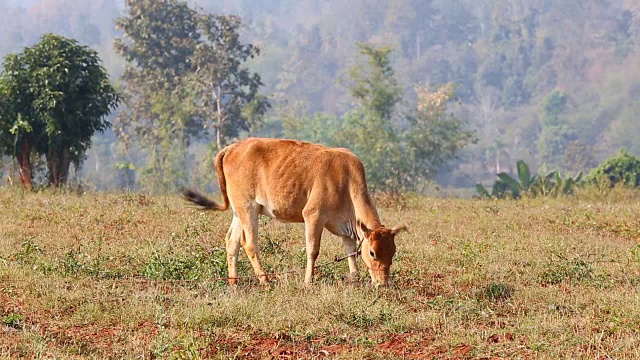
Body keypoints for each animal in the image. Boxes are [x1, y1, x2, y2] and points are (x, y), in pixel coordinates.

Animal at [182, 136, 408, 286]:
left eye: (393, 252)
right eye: (373, 253)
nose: (383, 283)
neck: (346, 180)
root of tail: (232, 148)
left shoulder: (347, 227)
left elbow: (350, 250)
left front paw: (355, 278)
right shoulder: (313, 216)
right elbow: (313, 251)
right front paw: (308, 281)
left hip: (239, 211)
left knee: (232, 242)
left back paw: (233, 282)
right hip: (249, 207)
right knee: (250, 243)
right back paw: (265, 280)